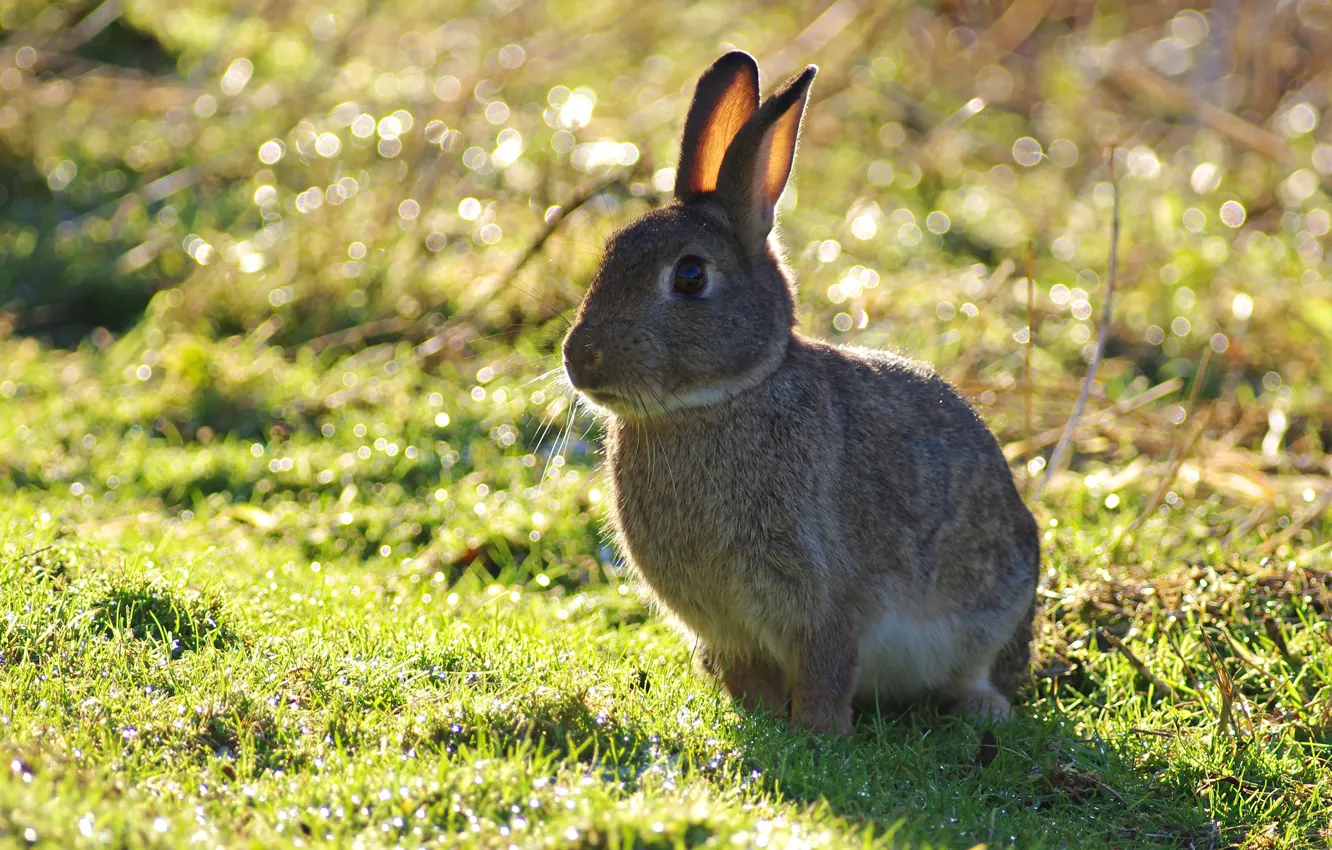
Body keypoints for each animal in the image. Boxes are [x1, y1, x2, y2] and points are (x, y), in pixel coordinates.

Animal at [561, 50, 1039, 735]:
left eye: (690, 276)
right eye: (608, 252)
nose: (579, 360)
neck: (721, 400)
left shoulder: (827, 598)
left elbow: (826, 666)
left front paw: (818, 734)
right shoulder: (726, 628)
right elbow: (749, 679)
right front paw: (768, 724)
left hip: (995, 602)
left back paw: (982, 710)